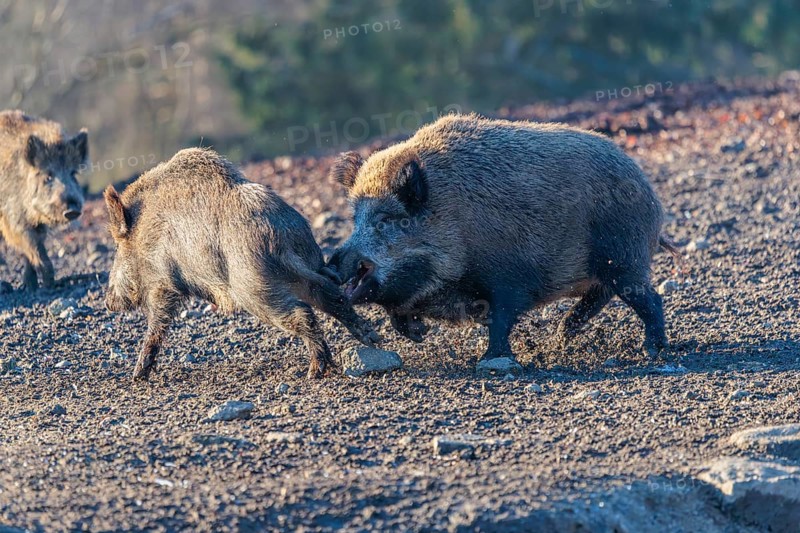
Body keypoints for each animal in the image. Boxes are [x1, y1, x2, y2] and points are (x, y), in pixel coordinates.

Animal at [0, 110, 87, 290]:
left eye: (73, 173)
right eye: (48, 176)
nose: (72, 210)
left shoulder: (39, 226)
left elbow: (32, 251)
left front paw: (31, 285)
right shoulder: (13, 220)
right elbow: (34, 248)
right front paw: (48, 285)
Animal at [103, 148, 378, 381]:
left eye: (118, 248)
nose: (107, 302)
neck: (144, 233)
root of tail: (279, 239)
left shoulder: (162, 281)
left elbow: (157, 323)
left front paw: (137, 377)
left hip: (253, 288)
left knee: (302, 313)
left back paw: (314, 371)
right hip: (307, 267)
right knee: (333, 297)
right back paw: (370, 340)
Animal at [327, 114, 674, 366]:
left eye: (385, 220)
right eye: (355, 219)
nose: (334, 260)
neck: (454, 220)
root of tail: (650, 193)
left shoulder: (507, 278)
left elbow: (501, 320)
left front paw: (491, 361)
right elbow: (397, 314)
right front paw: (419, 334)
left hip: (624, 256)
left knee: (648, 298)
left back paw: (652, 350)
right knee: (598, 298)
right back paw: (561, 338)